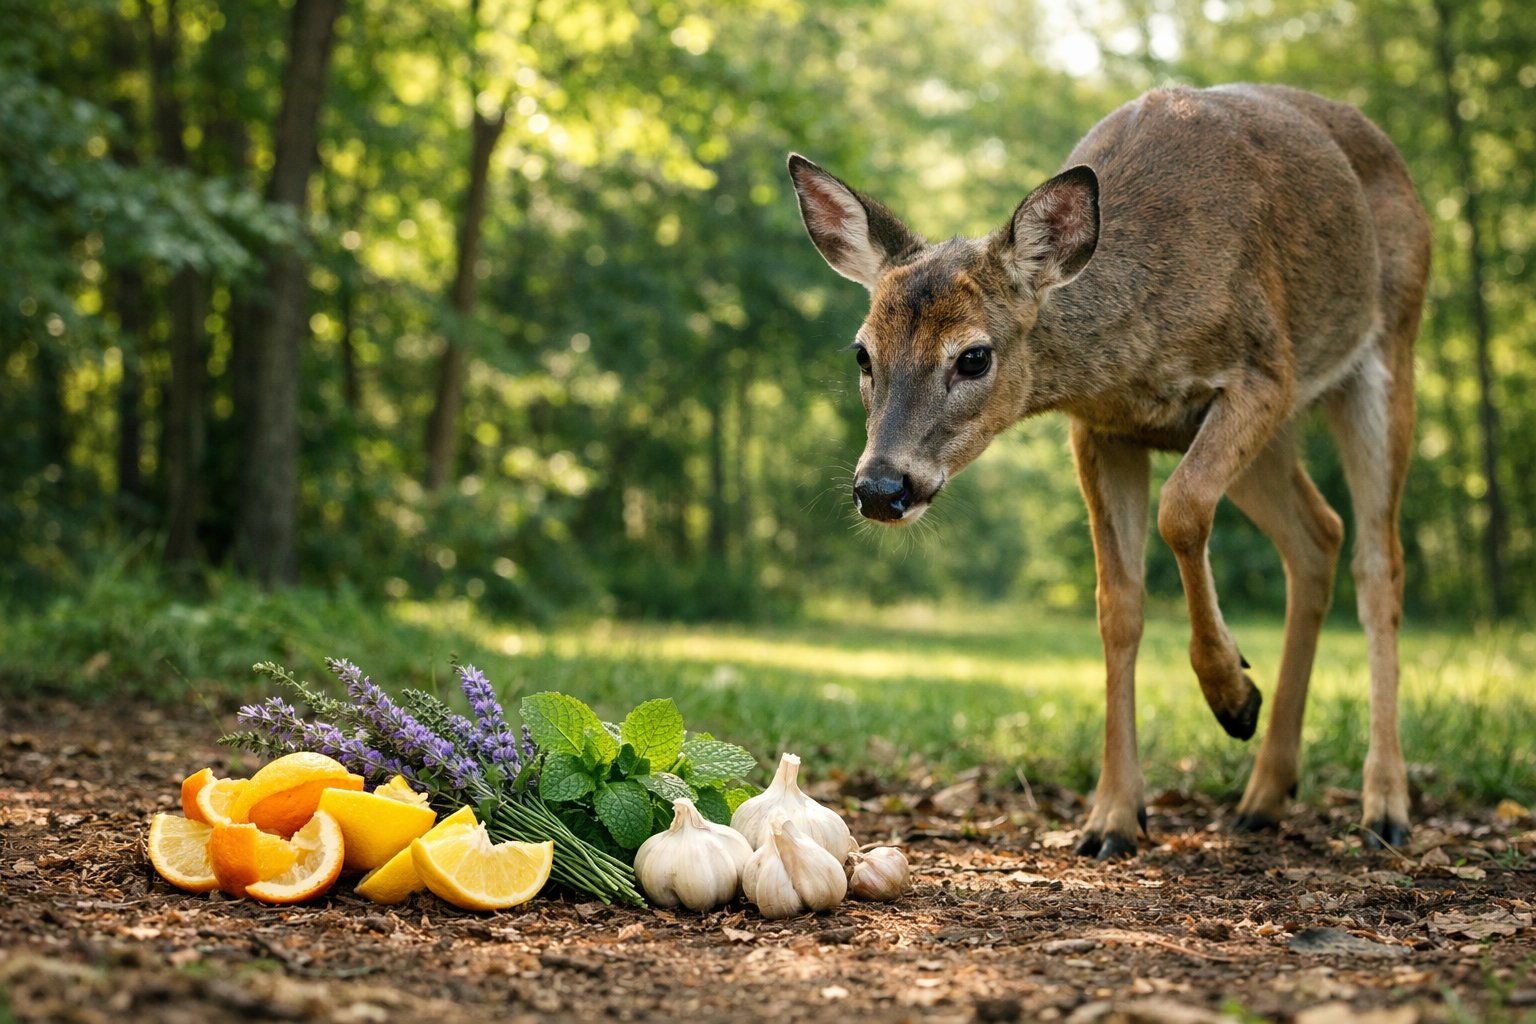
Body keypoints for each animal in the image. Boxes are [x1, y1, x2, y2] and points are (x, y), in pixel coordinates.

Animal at [788, 84, 1430, 859]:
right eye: (862, 353)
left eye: (973, 356)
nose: (882, 488)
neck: (1131, 351)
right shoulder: (1101, 428)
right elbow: (1116, 605)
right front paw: (1113, 817)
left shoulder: (1263, 371)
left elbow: (1181, 509)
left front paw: (1230, 693)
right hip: (1272, 443)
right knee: (1318, 535)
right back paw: (1264, 796)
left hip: (1386, 346)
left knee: (1378, 559)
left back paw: (1385, 805)